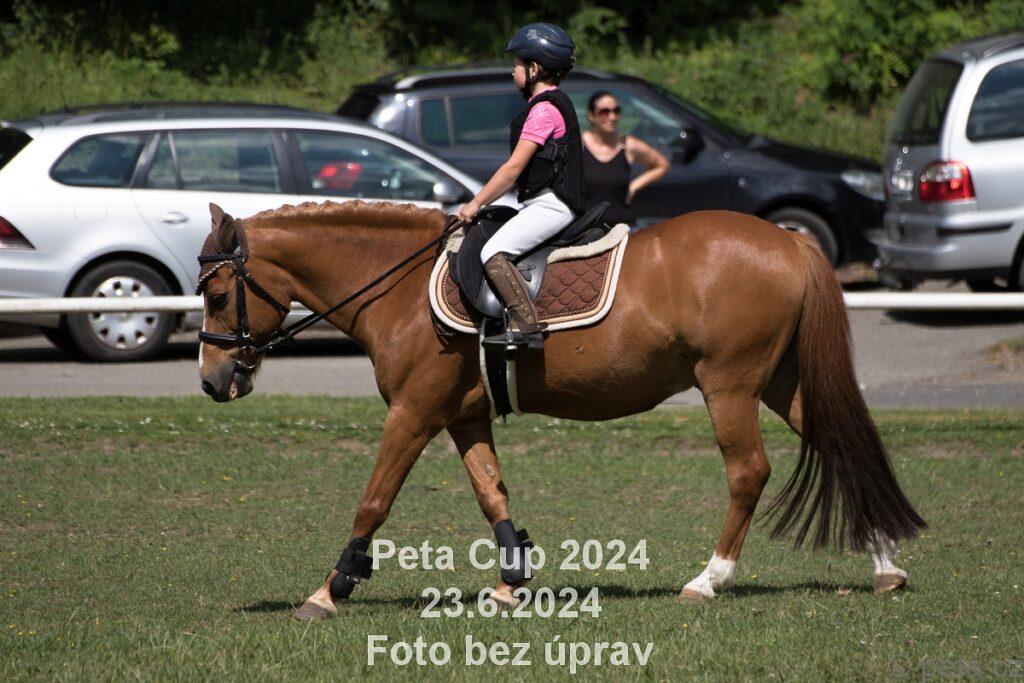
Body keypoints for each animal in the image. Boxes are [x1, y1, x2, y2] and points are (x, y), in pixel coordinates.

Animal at [196, 199, 925, 621]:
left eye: (217, 294)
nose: (210, 381)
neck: (398, 284)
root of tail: (789, 240)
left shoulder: (413, 411)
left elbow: (373, 500)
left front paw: (330, 589)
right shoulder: (462, 415)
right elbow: (491, 492)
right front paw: (510, 581)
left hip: (730, 385)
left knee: (749, 472)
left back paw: (708, 579)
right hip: (778, 381)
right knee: (841, 447)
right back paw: (885, 565)